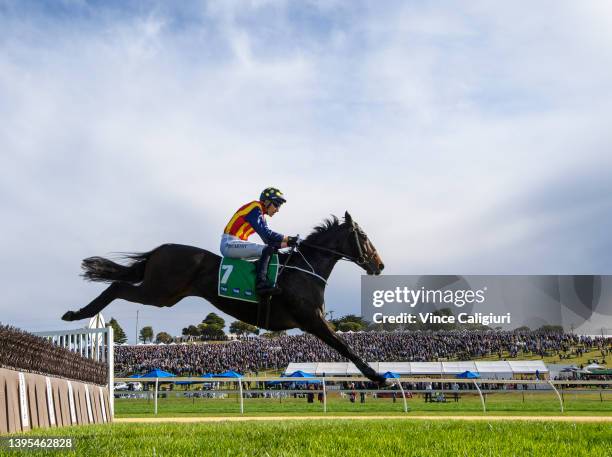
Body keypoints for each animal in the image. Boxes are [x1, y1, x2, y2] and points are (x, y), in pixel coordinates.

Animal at [63, 212, 388, 382]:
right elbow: (344, 345)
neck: (303, 270)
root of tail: (161, 249)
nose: (380, 265)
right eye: (364, 236)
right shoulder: (311, 319)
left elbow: (342, 344)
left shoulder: (313, 321)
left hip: (165, 294)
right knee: (117, 287)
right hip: (158, 291)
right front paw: (376, 376)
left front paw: (375, 374)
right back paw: (77, 314)